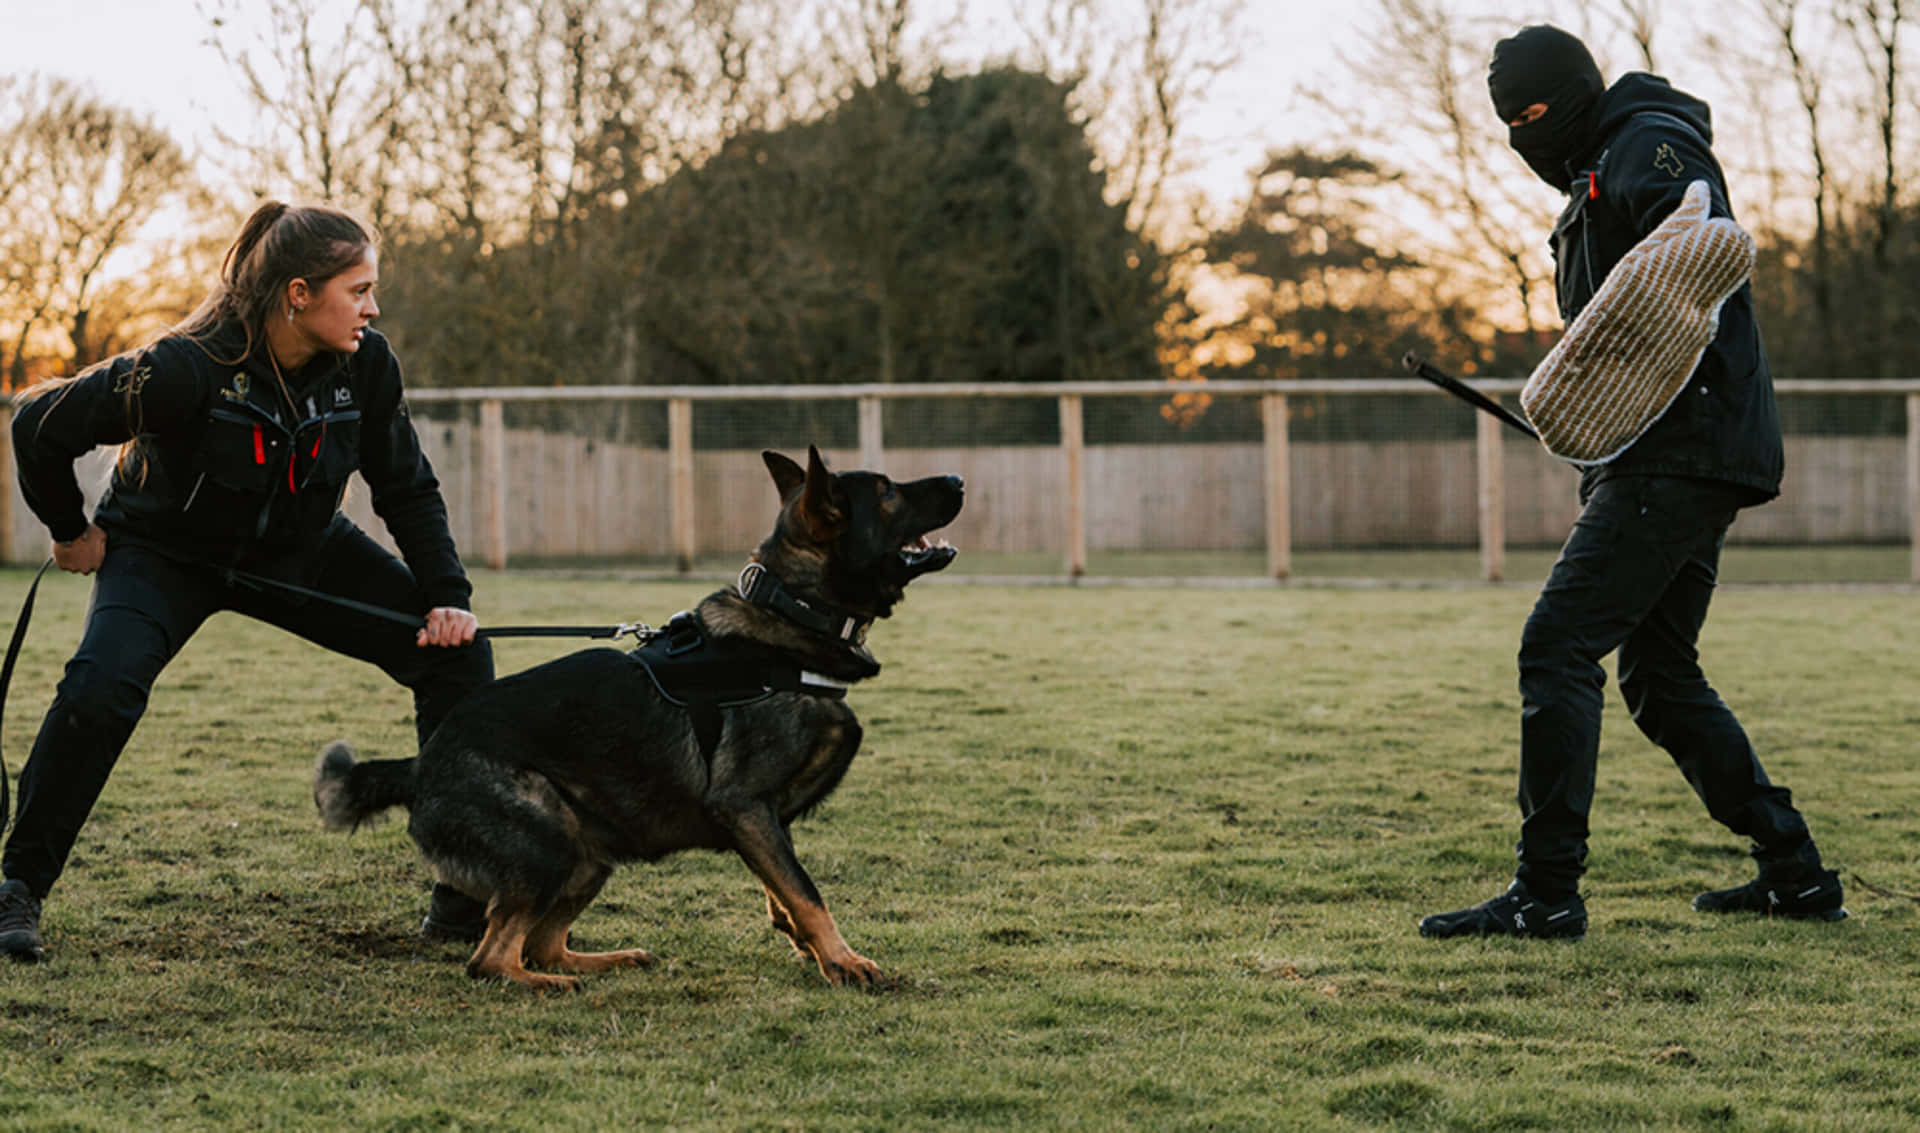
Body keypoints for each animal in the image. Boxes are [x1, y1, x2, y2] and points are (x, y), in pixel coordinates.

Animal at [324, 449, 975, 990]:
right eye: (887, 491)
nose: (959, 478)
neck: (793, 612)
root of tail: (419, 763)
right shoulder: (744, 805)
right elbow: (806, 892)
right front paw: (842, 960)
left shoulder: (764, 821)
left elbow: (782, 887)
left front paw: (802, 940)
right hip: (550, 845)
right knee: (493, 959)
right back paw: (552, 985)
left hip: (589, 856)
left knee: (541, 943)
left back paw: (605, 961)